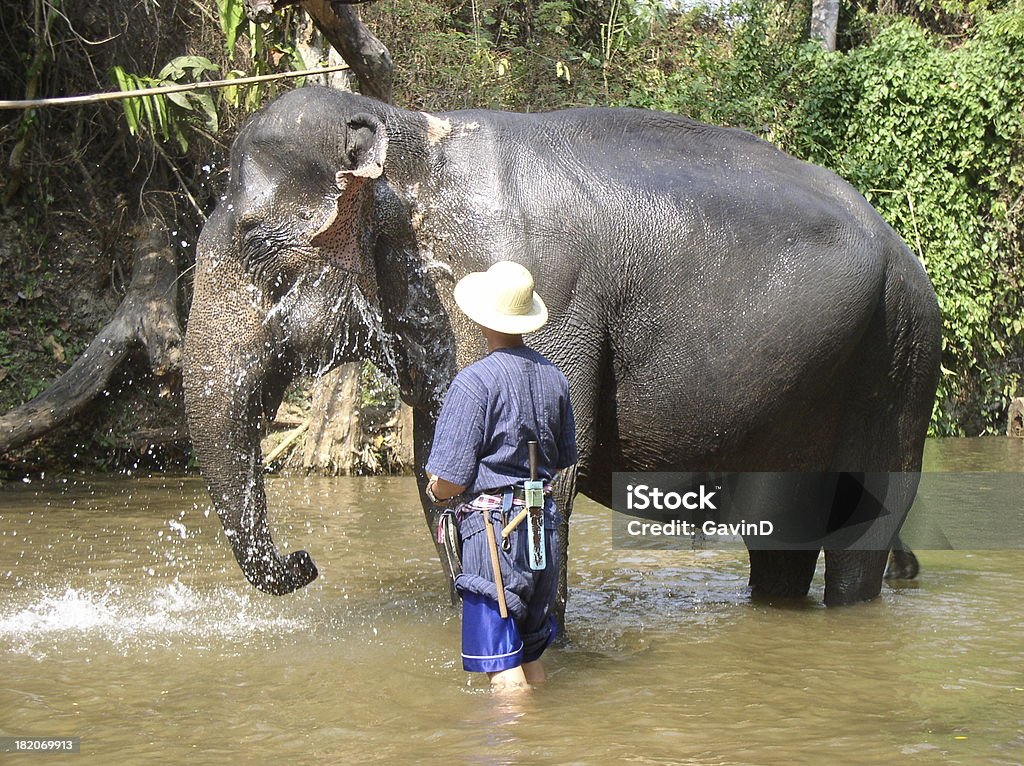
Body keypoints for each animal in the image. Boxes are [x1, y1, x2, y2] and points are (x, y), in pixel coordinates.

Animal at [182, 83, 937, 606]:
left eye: (258, 249)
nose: (306, 562)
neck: (413, 137)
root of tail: (906, 253)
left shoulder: (536, 287)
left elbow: (543, 472)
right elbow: (437, 470)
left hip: (899, 359)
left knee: (864, 531)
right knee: (779, 540)